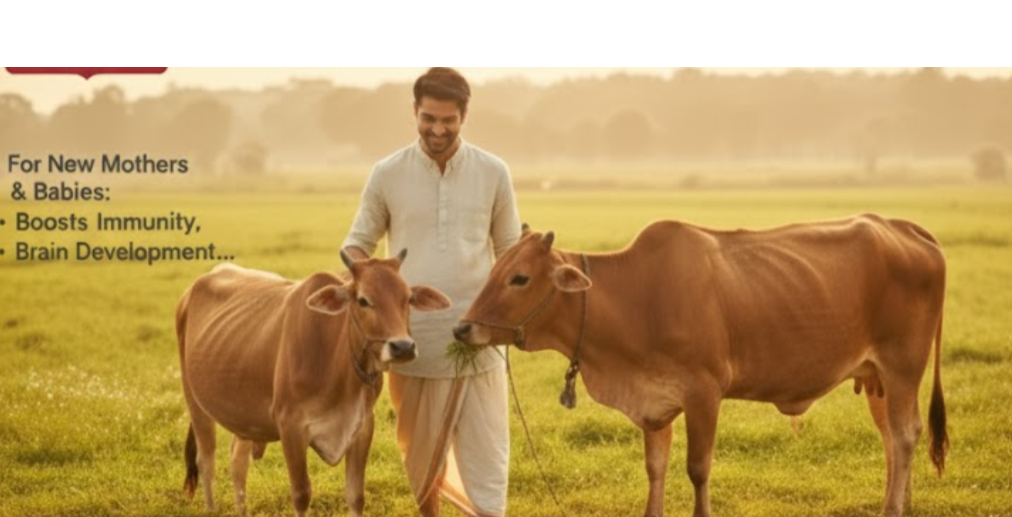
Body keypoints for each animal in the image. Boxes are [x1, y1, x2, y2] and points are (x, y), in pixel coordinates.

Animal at [176, 249, 451, 517]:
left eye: (407, 299)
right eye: (363, 300)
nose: (403, 347)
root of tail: (191, 291)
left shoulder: (362, 427)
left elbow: (355, 495)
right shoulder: (291, 428)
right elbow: (301, 495)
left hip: (243, 414)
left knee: (237, 460)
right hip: (194, 400)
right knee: (206, 460)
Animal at [452, 214, 948, 517]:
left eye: (519, 278)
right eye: (496, 270)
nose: (462, 329)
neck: (638, 297)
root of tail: (901, 227)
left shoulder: (704, 393)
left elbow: (697, 468)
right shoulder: (655, 400)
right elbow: (655, 467)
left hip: (903, 367)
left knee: (905, 437)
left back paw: (892, 507)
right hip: (878, 377)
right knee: (892, 441)